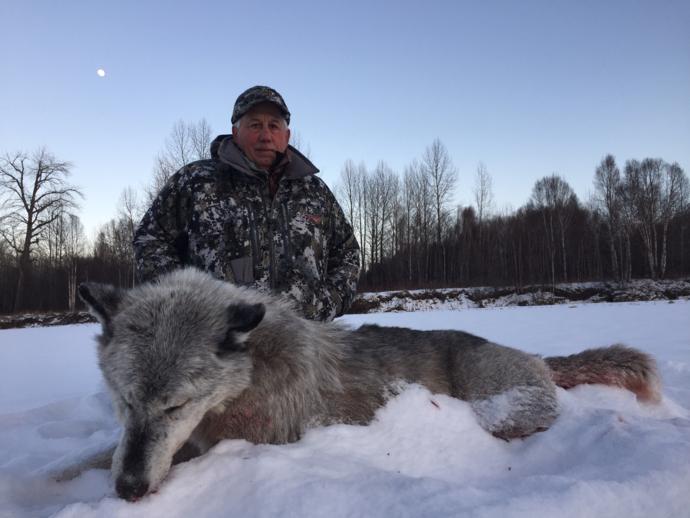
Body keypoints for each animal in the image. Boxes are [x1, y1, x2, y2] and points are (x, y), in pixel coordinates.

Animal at [77, 268, 661, 501]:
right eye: (125, 402)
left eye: (176, 406)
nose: (128, 490)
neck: (252, 374)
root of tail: (538, 358)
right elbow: (82, 462)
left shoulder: (239, 443)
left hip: (496, 409)